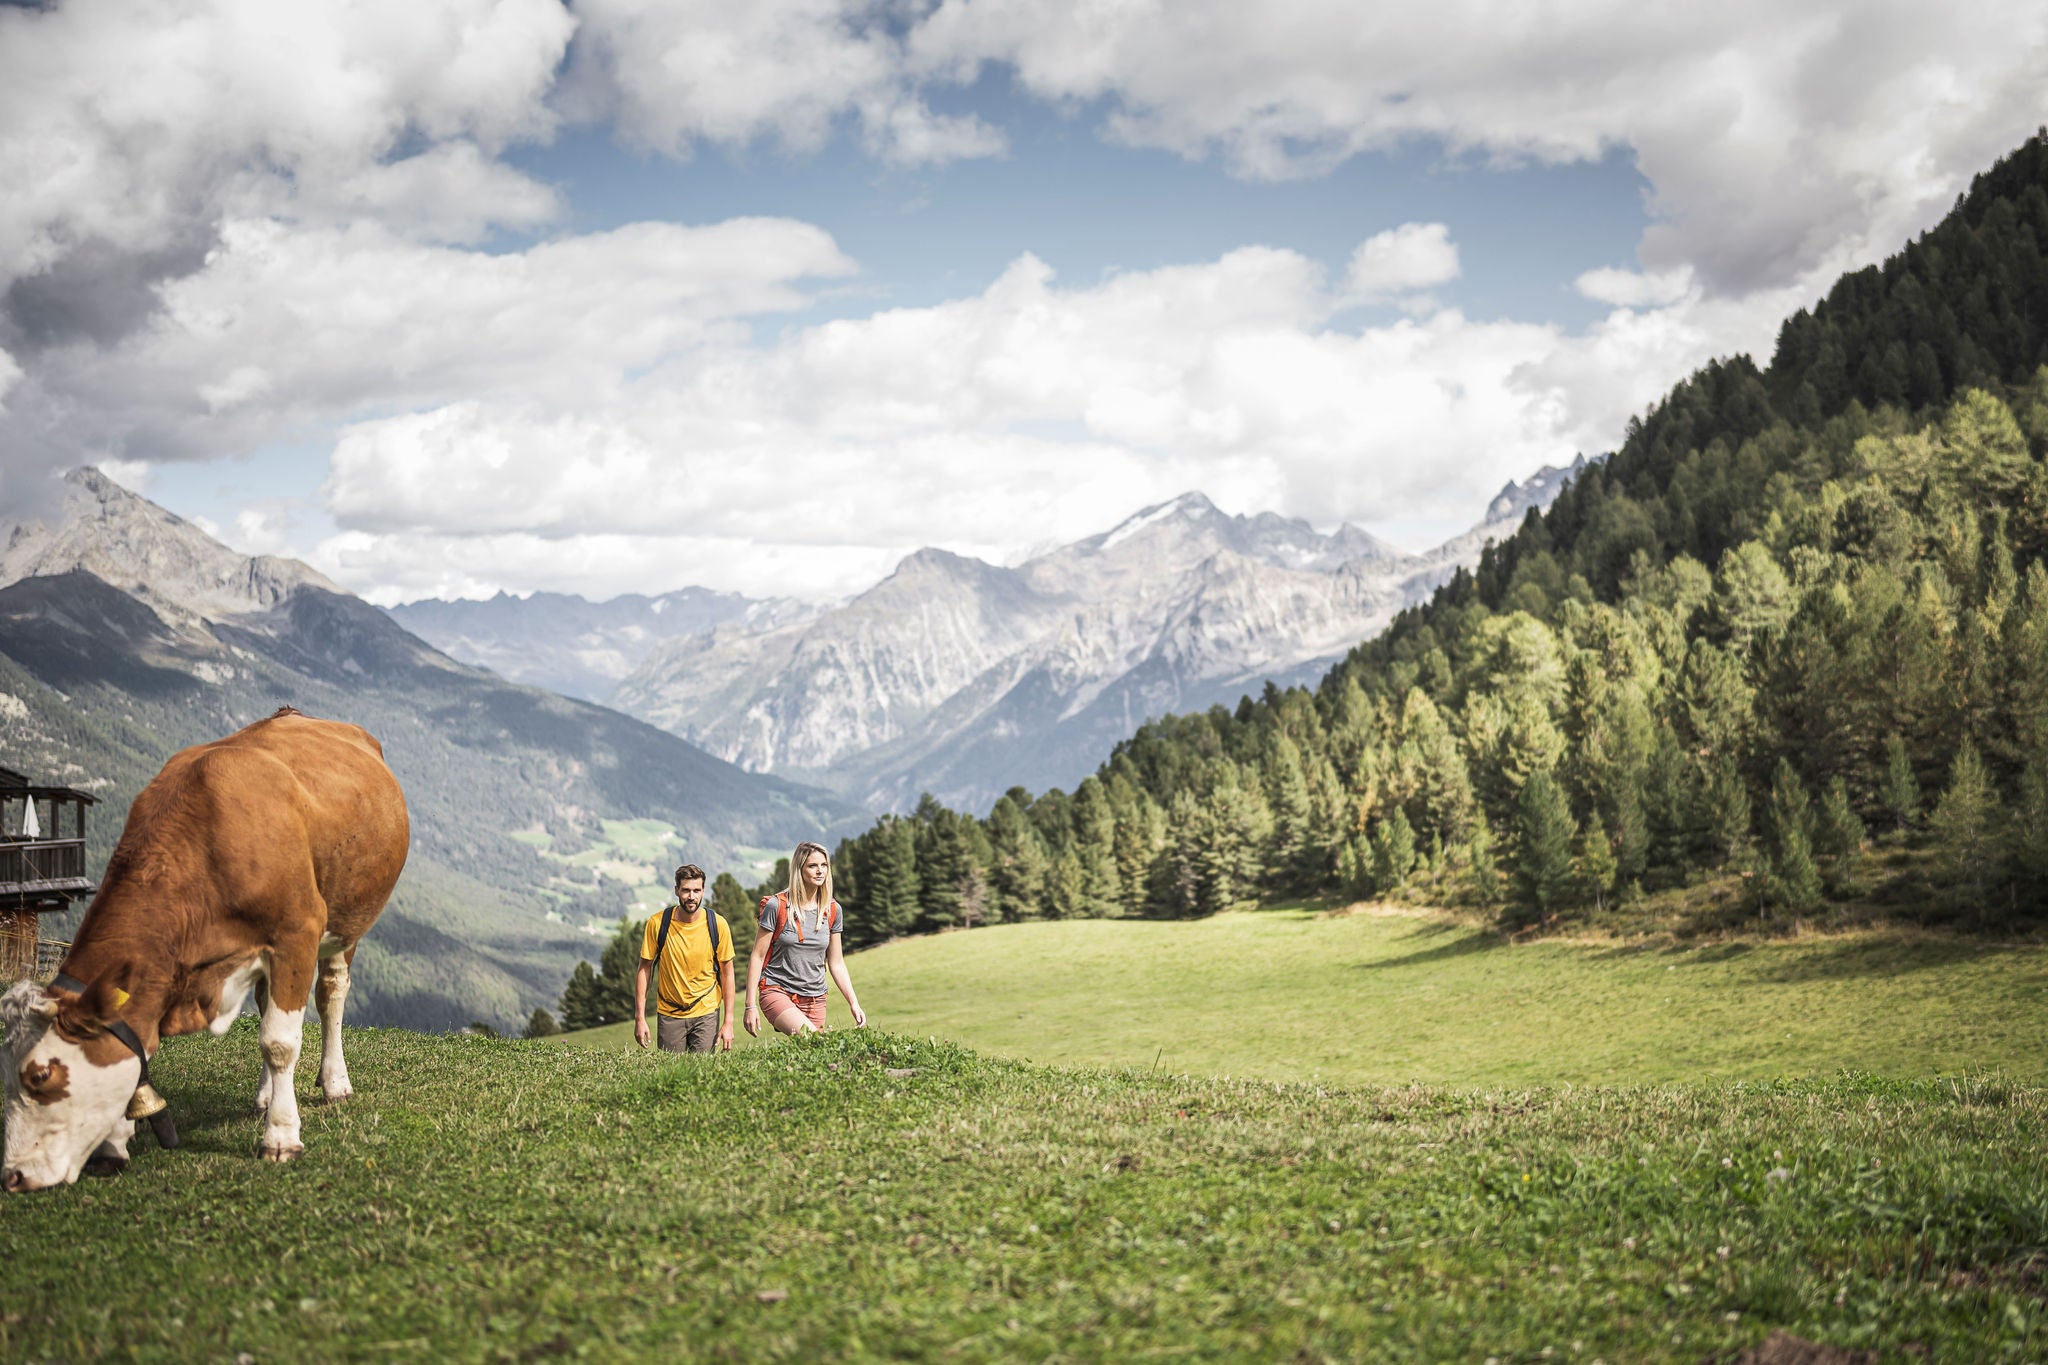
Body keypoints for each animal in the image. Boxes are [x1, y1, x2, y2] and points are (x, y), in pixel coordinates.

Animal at [0, 712, 407, 1186]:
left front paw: (282, 1137)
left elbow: (280, 1042)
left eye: (41, 1075)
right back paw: (265, 1095)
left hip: (347, 920)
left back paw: (334, 1082)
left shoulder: (297, 933)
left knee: (331, 996)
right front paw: (115, 1144)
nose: (12, 1176)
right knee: (267, 1002)